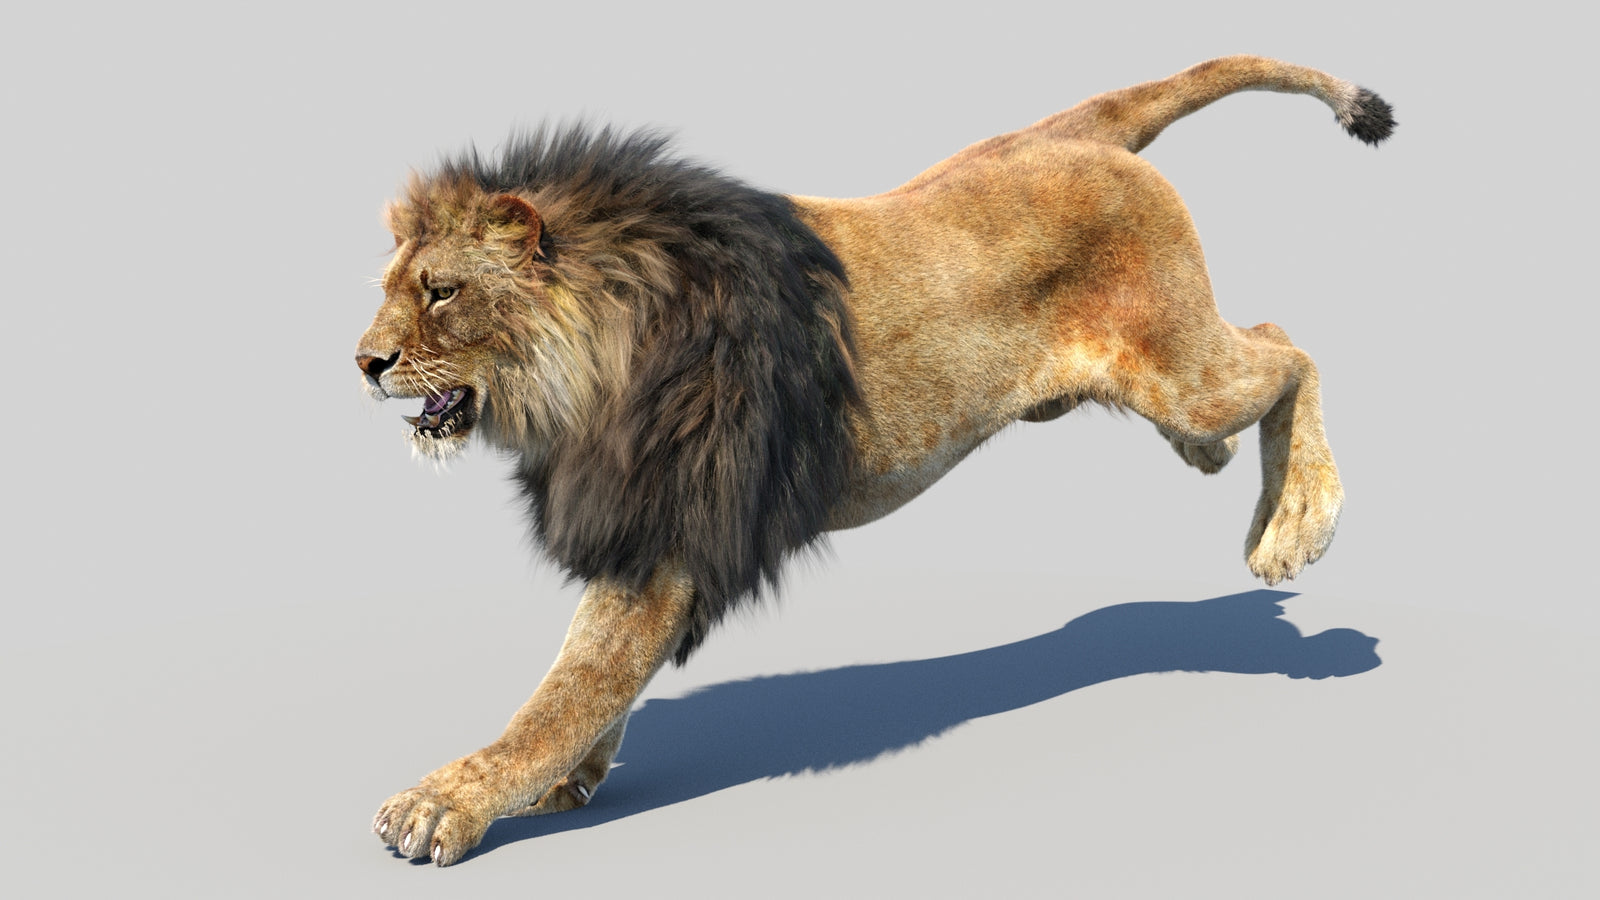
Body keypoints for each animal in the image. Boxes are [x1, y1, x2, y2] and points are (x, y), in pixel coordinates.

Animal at [356, 55, 1393, 865]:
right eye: (391, 288)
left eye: (441, 292)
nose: (362, 362)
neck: (586, 369)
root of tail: (1063, 135)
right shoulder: (640, 523)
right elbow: (584, 685)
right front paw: (571, 779)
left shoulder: (673, 531)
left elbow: (565, 690)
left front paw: (445, 803)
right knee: (1257, 364)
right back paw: (1211, 463)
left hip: (1184, 366)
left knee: (1289, 348)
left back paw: (1295, 526)